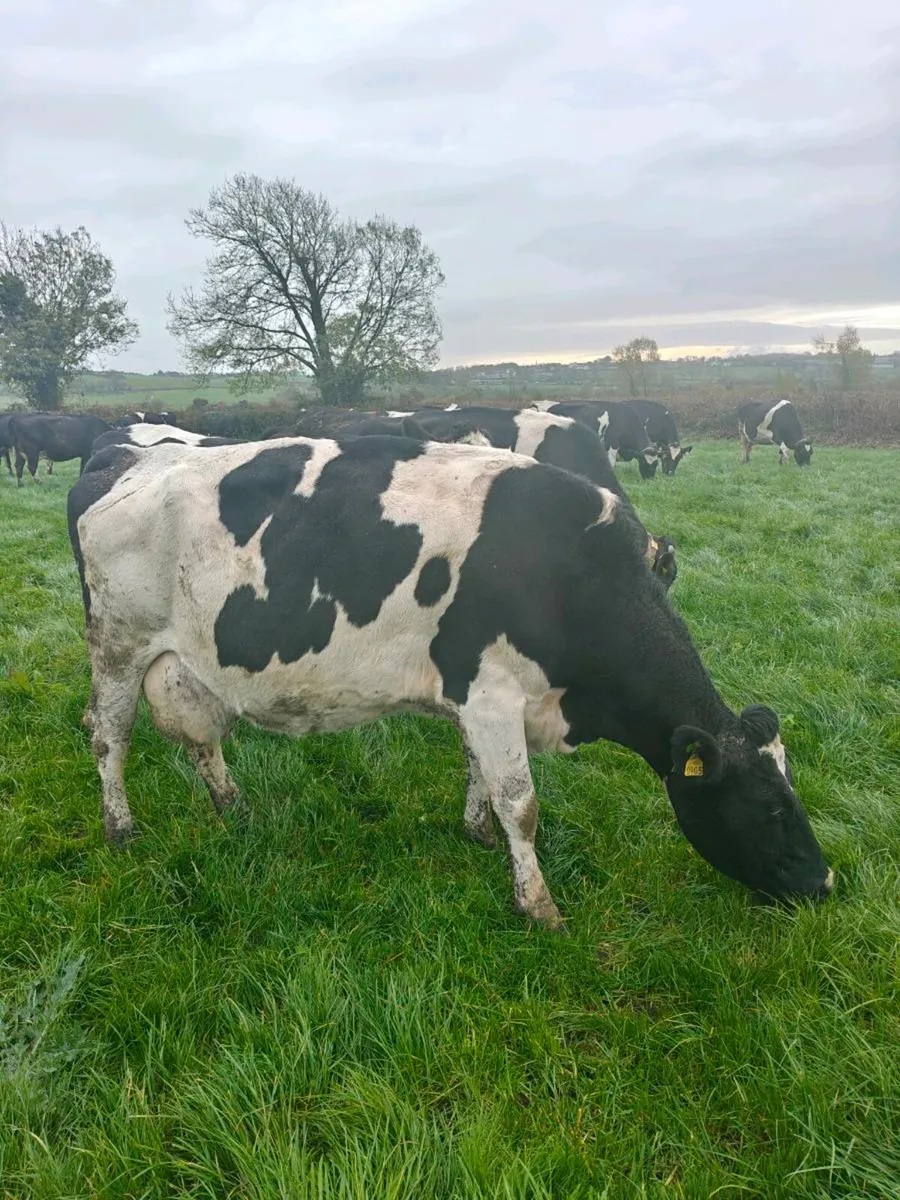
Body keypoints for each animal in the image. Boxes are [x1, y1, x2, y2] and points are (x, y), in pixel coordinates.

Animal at [69, 435, 832, 928]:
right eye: (770, 808)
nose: (824, 882)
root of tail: (129, 457)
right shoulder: (493, 693)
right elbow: (521, 802)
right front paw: (539, 906)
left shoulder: (475, 696)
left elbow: (479, 774)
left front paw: (477, 833)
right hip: (118, 642)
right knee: (109, 735)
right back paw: (121, 828)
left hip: (182, 661)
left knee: (200, 737)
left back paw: (234, 809)